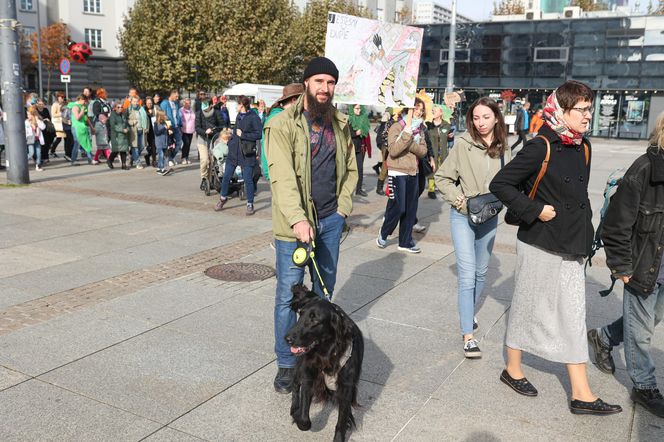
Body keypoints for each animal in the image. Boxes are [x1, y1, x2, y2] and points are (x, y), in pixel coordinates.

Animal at [284, 284, 364, 442]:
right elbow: (304, 421)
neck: (326, 354)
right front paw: (298, 416)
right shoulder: (308, 375)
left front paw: (341, 432)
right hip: (300, 364)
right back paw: (294, 408)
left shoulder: (346, 387)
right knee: (295, 384)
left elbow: (342, 418)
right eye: (300, 314)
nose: (287, 338)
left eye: (315, 320)